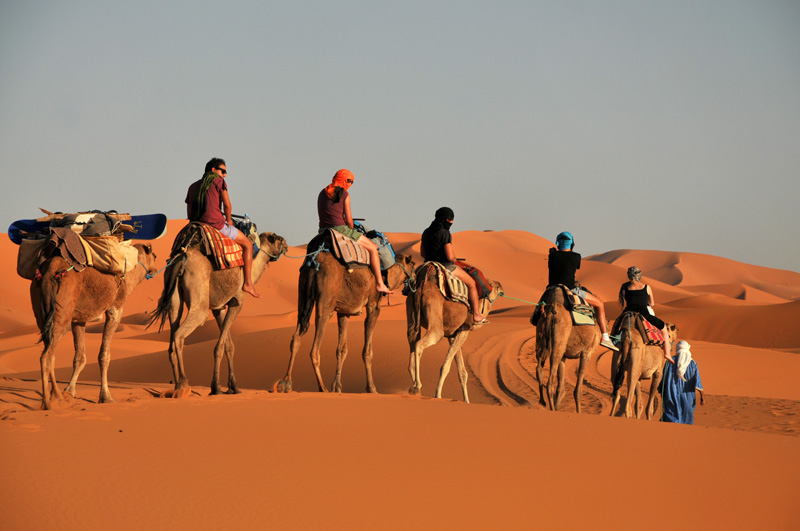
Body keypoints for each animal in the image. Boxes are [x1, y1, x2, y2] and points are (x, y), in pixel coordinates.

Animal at [30, 243, 158, 410]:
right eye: (154, 256)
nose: (155, 269)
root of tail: (50, 271)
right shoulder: (115, 309)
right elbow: (104, 356)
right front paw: (106, 397)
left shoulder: (79, 319)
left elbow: (79, 357)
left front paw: (70, 391)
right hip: (61, 313)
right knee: (46, 356)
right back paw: (49, 403)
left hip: (43, 315)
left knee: (50, 354)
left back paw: (58, 396)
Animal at [150, 231, 288, 396]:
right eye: (279, 239)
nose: (286, 246)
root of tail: (180, 261)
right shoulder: (237, 302)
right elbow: (220, 347)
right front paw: (216, 387)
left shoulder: (219, 308)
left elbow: (229, 345)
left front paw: (233, 386)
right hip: (199, 299)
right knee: (180, 334)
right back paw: (184, 384)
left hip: (174, 299)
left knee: (172, 337)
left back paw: (176, 387)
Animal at [276, 251, 416, 392]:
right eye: (413, 265)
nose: (415, 278)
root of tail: (314, 264)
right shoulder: (373, 305)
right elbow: (367, 351)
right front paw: (371, 388)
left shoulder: (344, 312)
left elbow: (341, 349)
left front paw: (337, 386)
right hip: (326, 301)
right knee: (314, 349)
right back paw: (322, 388)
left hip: (303, 297)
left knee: (296, 338)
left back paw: (285, 383)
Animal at [406, 266, 506, 404]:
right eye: (496, 286)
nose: (501, 287)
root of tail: (421, 287)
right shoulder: (464, 330)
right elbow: (446, 366)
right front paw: (437, 395)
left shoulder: (453, 334)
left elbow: (462, 372)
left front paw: (467, 401)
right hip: (436, 326)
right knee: (419, 344)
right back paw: (417, 385)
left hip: (412, 316)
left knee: (412, 339)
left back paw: (414, 387)